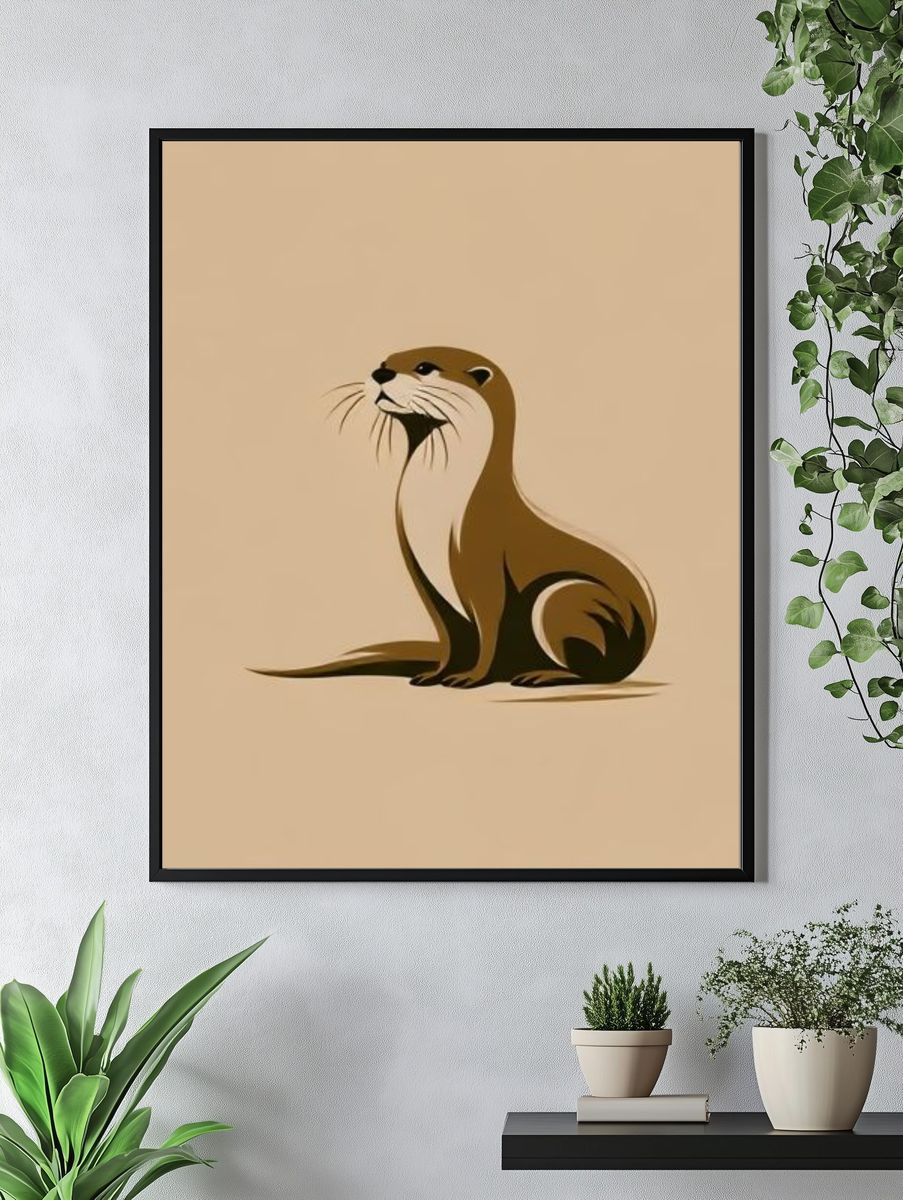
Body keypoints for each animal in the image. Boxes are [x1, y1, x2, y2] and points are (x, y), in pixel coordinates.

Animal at [254, 347, 656, 687]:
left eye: (424, 367)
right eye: (385, 359)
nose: (380, 372)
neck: (440, 502)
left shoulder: (483, 559)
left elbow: (489, 626)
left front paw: (471, 678)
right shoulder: (423, 575)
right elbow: (449, 633)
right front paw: (437, 674)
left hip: (566, 595)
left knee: (596, 668)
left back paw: (541, 674)